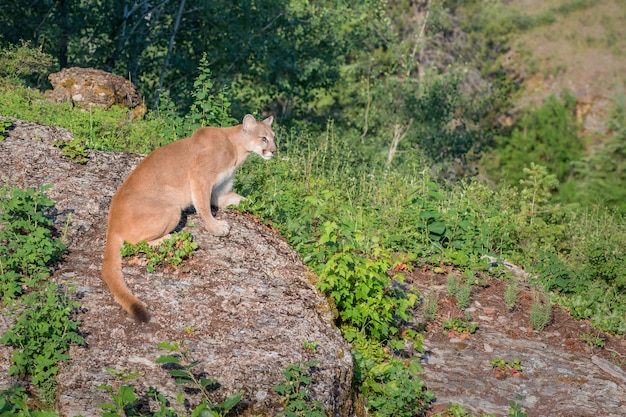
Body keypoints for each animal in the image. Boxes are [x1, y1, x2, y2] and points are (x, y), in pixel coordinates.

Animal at [102, 114, 272, 322]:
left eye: (273, 137)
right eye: (263, 138)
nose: (274, 151)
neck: (237, 148)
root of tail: (112, 222)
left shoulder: (221, 192)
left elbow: (241, 200)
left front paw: (261, 210)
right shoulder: (200, 176)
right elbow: (203, 207)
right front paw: (216, 228)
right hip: (172, 209)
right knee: (134, 243)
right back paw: (171, 238)